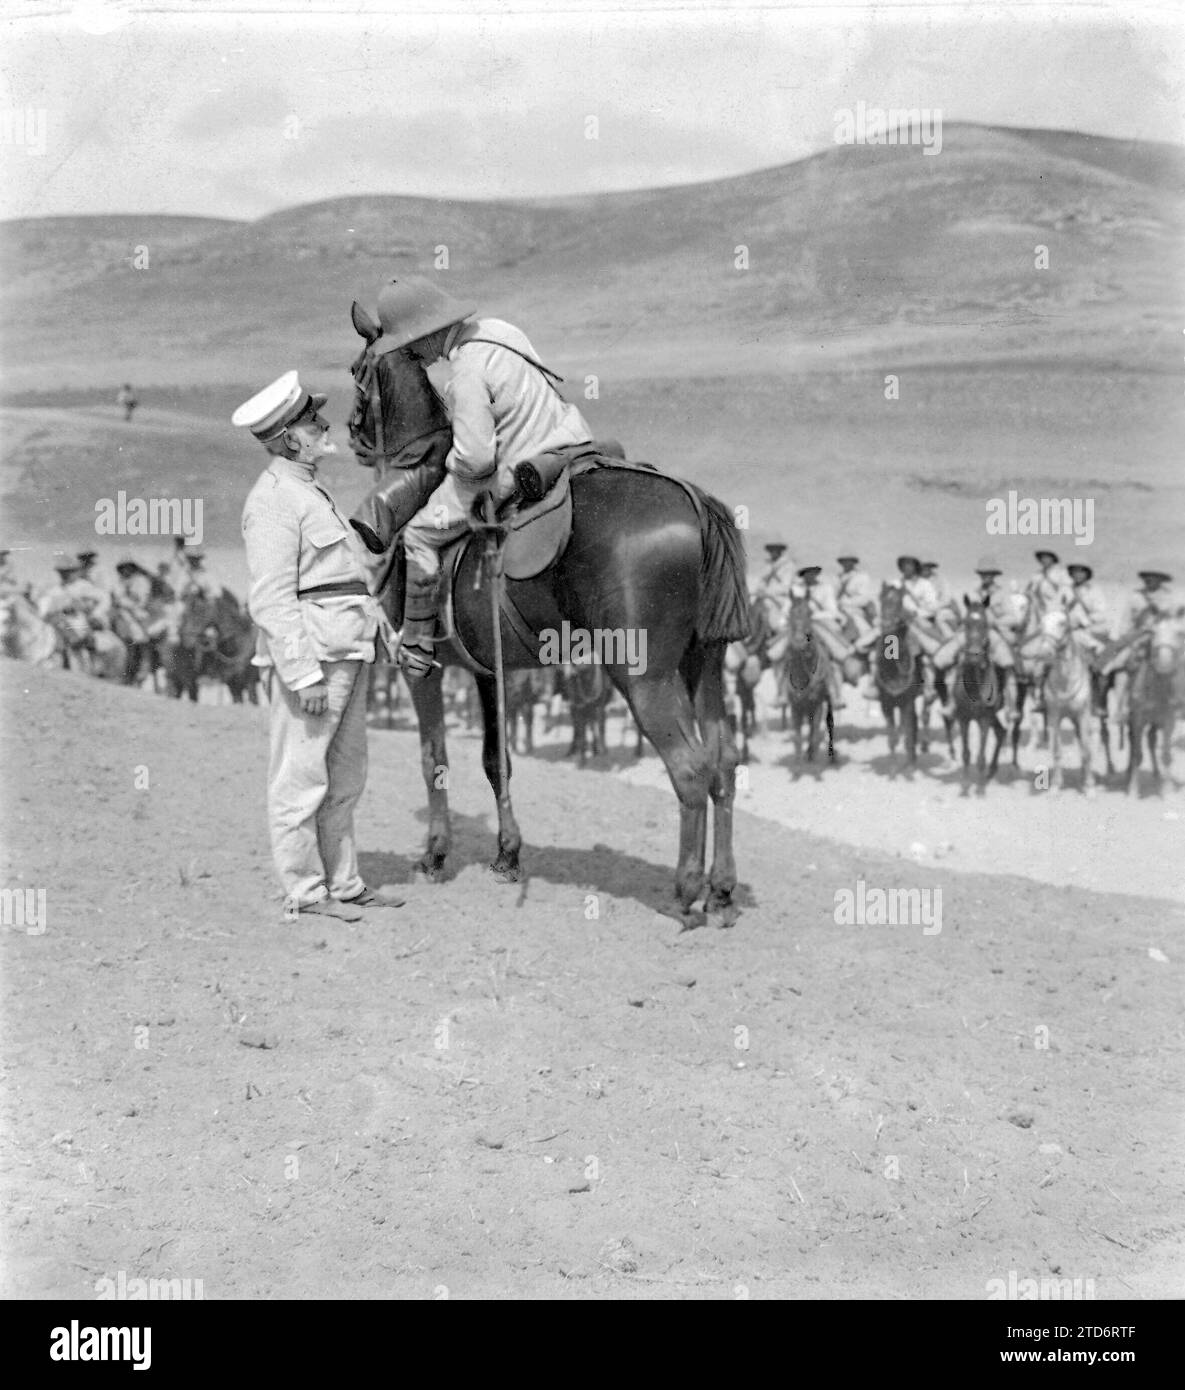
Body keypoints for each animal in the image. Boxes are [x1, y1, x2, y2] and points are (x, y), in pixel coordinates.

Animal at [344, 309, 750, 928]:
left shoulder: (425, 672)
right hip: (705, 663)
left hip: (645, 678)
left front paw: (435, 855)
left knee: (690, 768)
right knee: (724, 763)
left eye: (355, 370)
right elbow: (496, 761)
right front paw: (507, 855)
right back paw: (722, 892)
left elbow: (434, 757)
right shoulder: (487, 673)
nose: (352, 432)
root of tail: (692, 501)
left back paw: (686, 894)